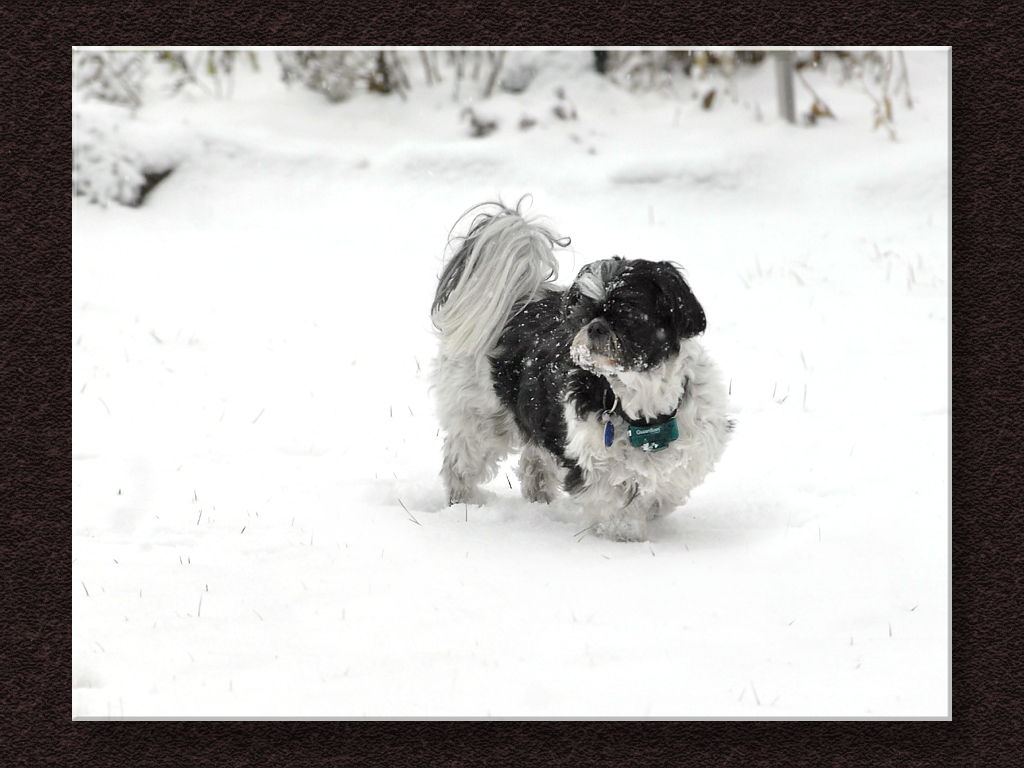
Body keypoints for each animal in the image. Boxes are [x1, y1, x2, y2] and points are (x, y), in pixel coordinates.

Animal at [428, 202, 733, 540]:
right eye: (584, 313)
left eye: (628, 311)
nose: (596, 327)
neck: (641, 402)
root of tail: (518, 302)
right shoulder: (594, 460)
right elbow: (612, 501)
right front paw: (623, 535)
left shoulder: (690, 448)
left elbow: (664, 489)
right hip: (480, 415)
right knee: (462, 461)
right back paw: (465, 502)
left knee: (534, 461)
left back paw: (540, 499)